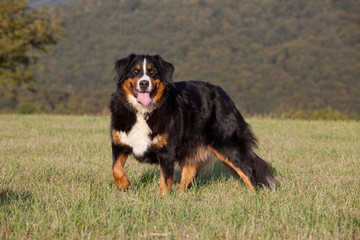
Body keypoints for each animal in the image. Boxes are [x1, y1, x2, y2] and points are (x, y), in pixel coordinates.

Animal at [109, 53, 272, 198]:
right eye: (134, 71)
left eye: (153, 71)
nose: (144, 83)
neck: (143, 112)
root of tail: (224, 94)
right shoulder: (119, 143)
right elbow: (116, 169)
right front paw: (124, 185)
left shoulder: (167, 151)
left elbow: (165, 179)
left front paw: (163, 200)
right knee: (190, 171)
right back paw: (180, 196)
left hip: (225, 143)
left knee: (247, 170)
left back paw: (253, 197)